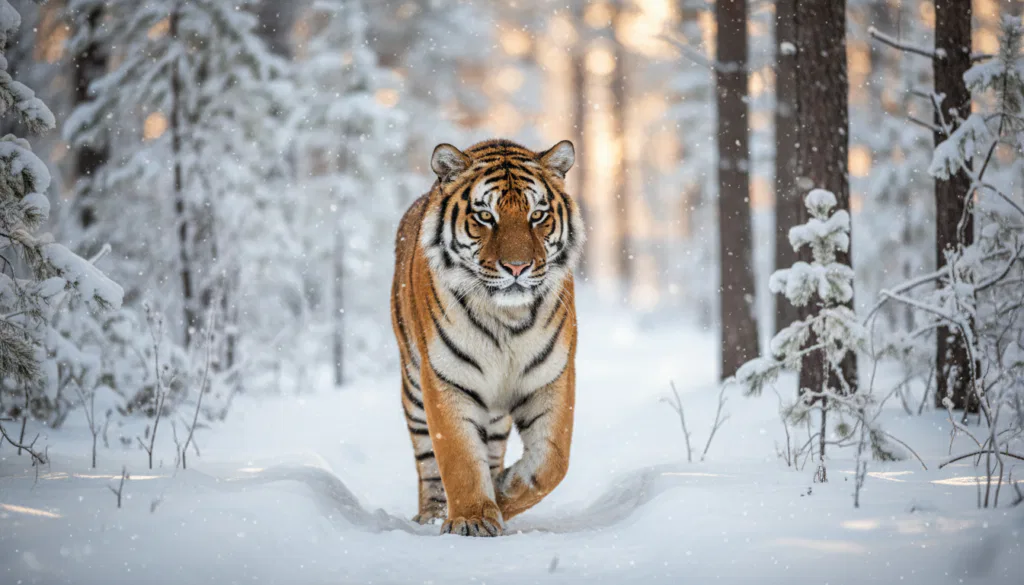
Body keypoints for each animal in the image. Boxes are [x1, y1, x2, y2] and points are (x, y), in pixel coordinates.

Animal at [390, 138, 583, 537]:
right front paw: (473, 519)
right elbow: (458, 457)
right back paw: (432, 515)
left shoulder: (552, 377)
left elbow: (553, 461)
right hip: (413, 388)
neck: (507, 318)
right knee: (426, 460)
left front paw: (502, 492)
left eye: (537, 215)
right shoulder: (446, 379)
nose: (517, 267)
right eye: (484, 216)